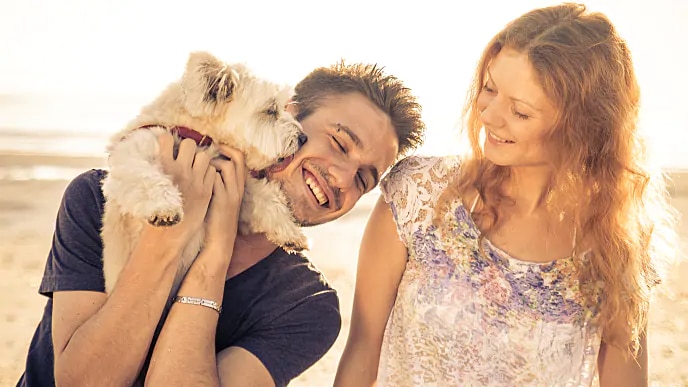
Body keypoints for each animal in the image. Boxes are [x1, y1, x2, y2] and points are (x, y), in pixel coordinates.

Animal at [101, 50, 308, 294]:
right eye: (270, 110)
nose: (303, 138)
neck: (197, 134)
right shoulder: (132, 154)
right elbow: (146, 177)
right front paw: (164, 207)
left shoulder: (237, 184)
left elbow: (267, 197)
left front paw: (290, 232)